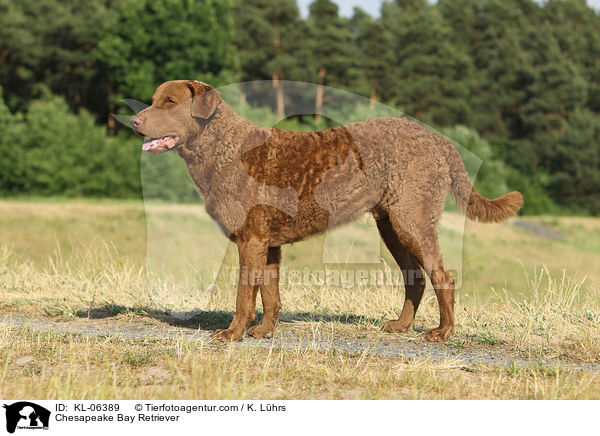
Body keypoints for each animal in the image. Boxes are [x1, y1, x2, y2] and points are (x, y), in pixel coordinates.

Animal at [130, 80, 520, 342]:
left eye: (170, 102)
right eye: (153, 100)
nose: (134, 121)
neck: (226, 149)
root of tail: (437, 139)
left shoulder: (251, 239)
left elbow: (244, 295)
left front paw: (232, 334)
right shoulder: (268, 243)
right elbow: (270, 293)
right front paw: (264, 331)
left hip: (412, 220)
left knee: (443, 276)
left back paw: (443, 331)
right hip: (391, 226)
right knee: (416, 277)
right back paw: (401, 326)